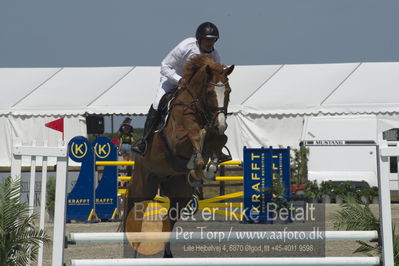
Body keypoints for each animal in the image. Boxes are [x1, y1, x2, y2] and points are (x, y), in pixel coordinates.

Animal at [122, 54, 234, 258]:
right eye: (209, 91)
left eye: (228, 91)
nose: (221, 124)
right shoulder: (177, 140)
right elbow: (194, 134)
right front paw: (198, 162)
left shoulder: (214, 131)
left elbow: (220, 139)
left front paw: (209, 167)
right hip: (144, 183)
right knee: (135, 212)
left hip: (179, 191)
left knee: (169, 218)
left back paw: (167, 254)